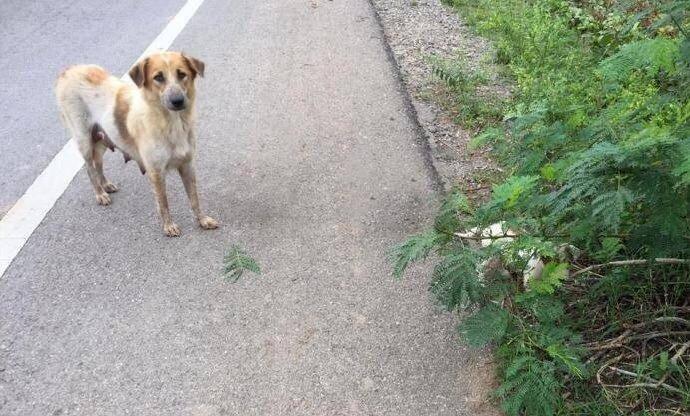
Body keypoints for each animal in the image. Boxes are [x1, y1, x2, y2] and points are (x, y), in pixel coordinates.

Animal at [55, 50, 218, 236]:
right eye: (158, 77)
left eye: (182, 74)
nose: (177, 101)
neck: (171, 123)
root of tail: (70, 69)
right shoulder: (156, 172)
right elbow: (163, 203)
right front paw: (168, 226)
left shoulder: (187, 165)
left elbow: (194, 198)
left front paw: (202, 220)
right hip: (84, 139)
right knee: (90, 168)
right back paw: (100, 193)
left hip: (103, 138)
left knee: (98, 162)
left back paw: (105, 184)